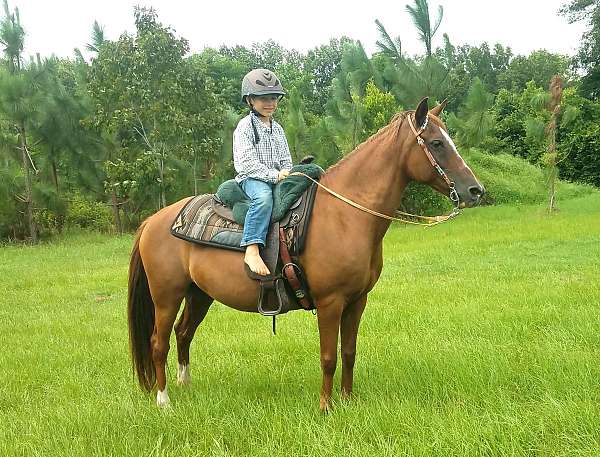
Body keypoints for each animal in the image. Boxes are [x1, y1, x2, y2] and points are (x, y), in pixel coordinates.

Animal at [126, 97, 482, 410]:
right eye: (436, 143)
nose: (475, 191)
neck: (344, 215)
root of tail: (153, 221)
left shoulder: (357, 301)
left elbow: (349, 352)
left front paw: (348, 400)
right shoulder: (330, 302)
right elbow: (328, 357)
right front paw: (326, 406)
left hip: (199, 294)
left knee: (183, 333)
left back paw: (185, 385)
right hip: (167, 296)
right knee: (159, 342)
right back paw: (164, 401)